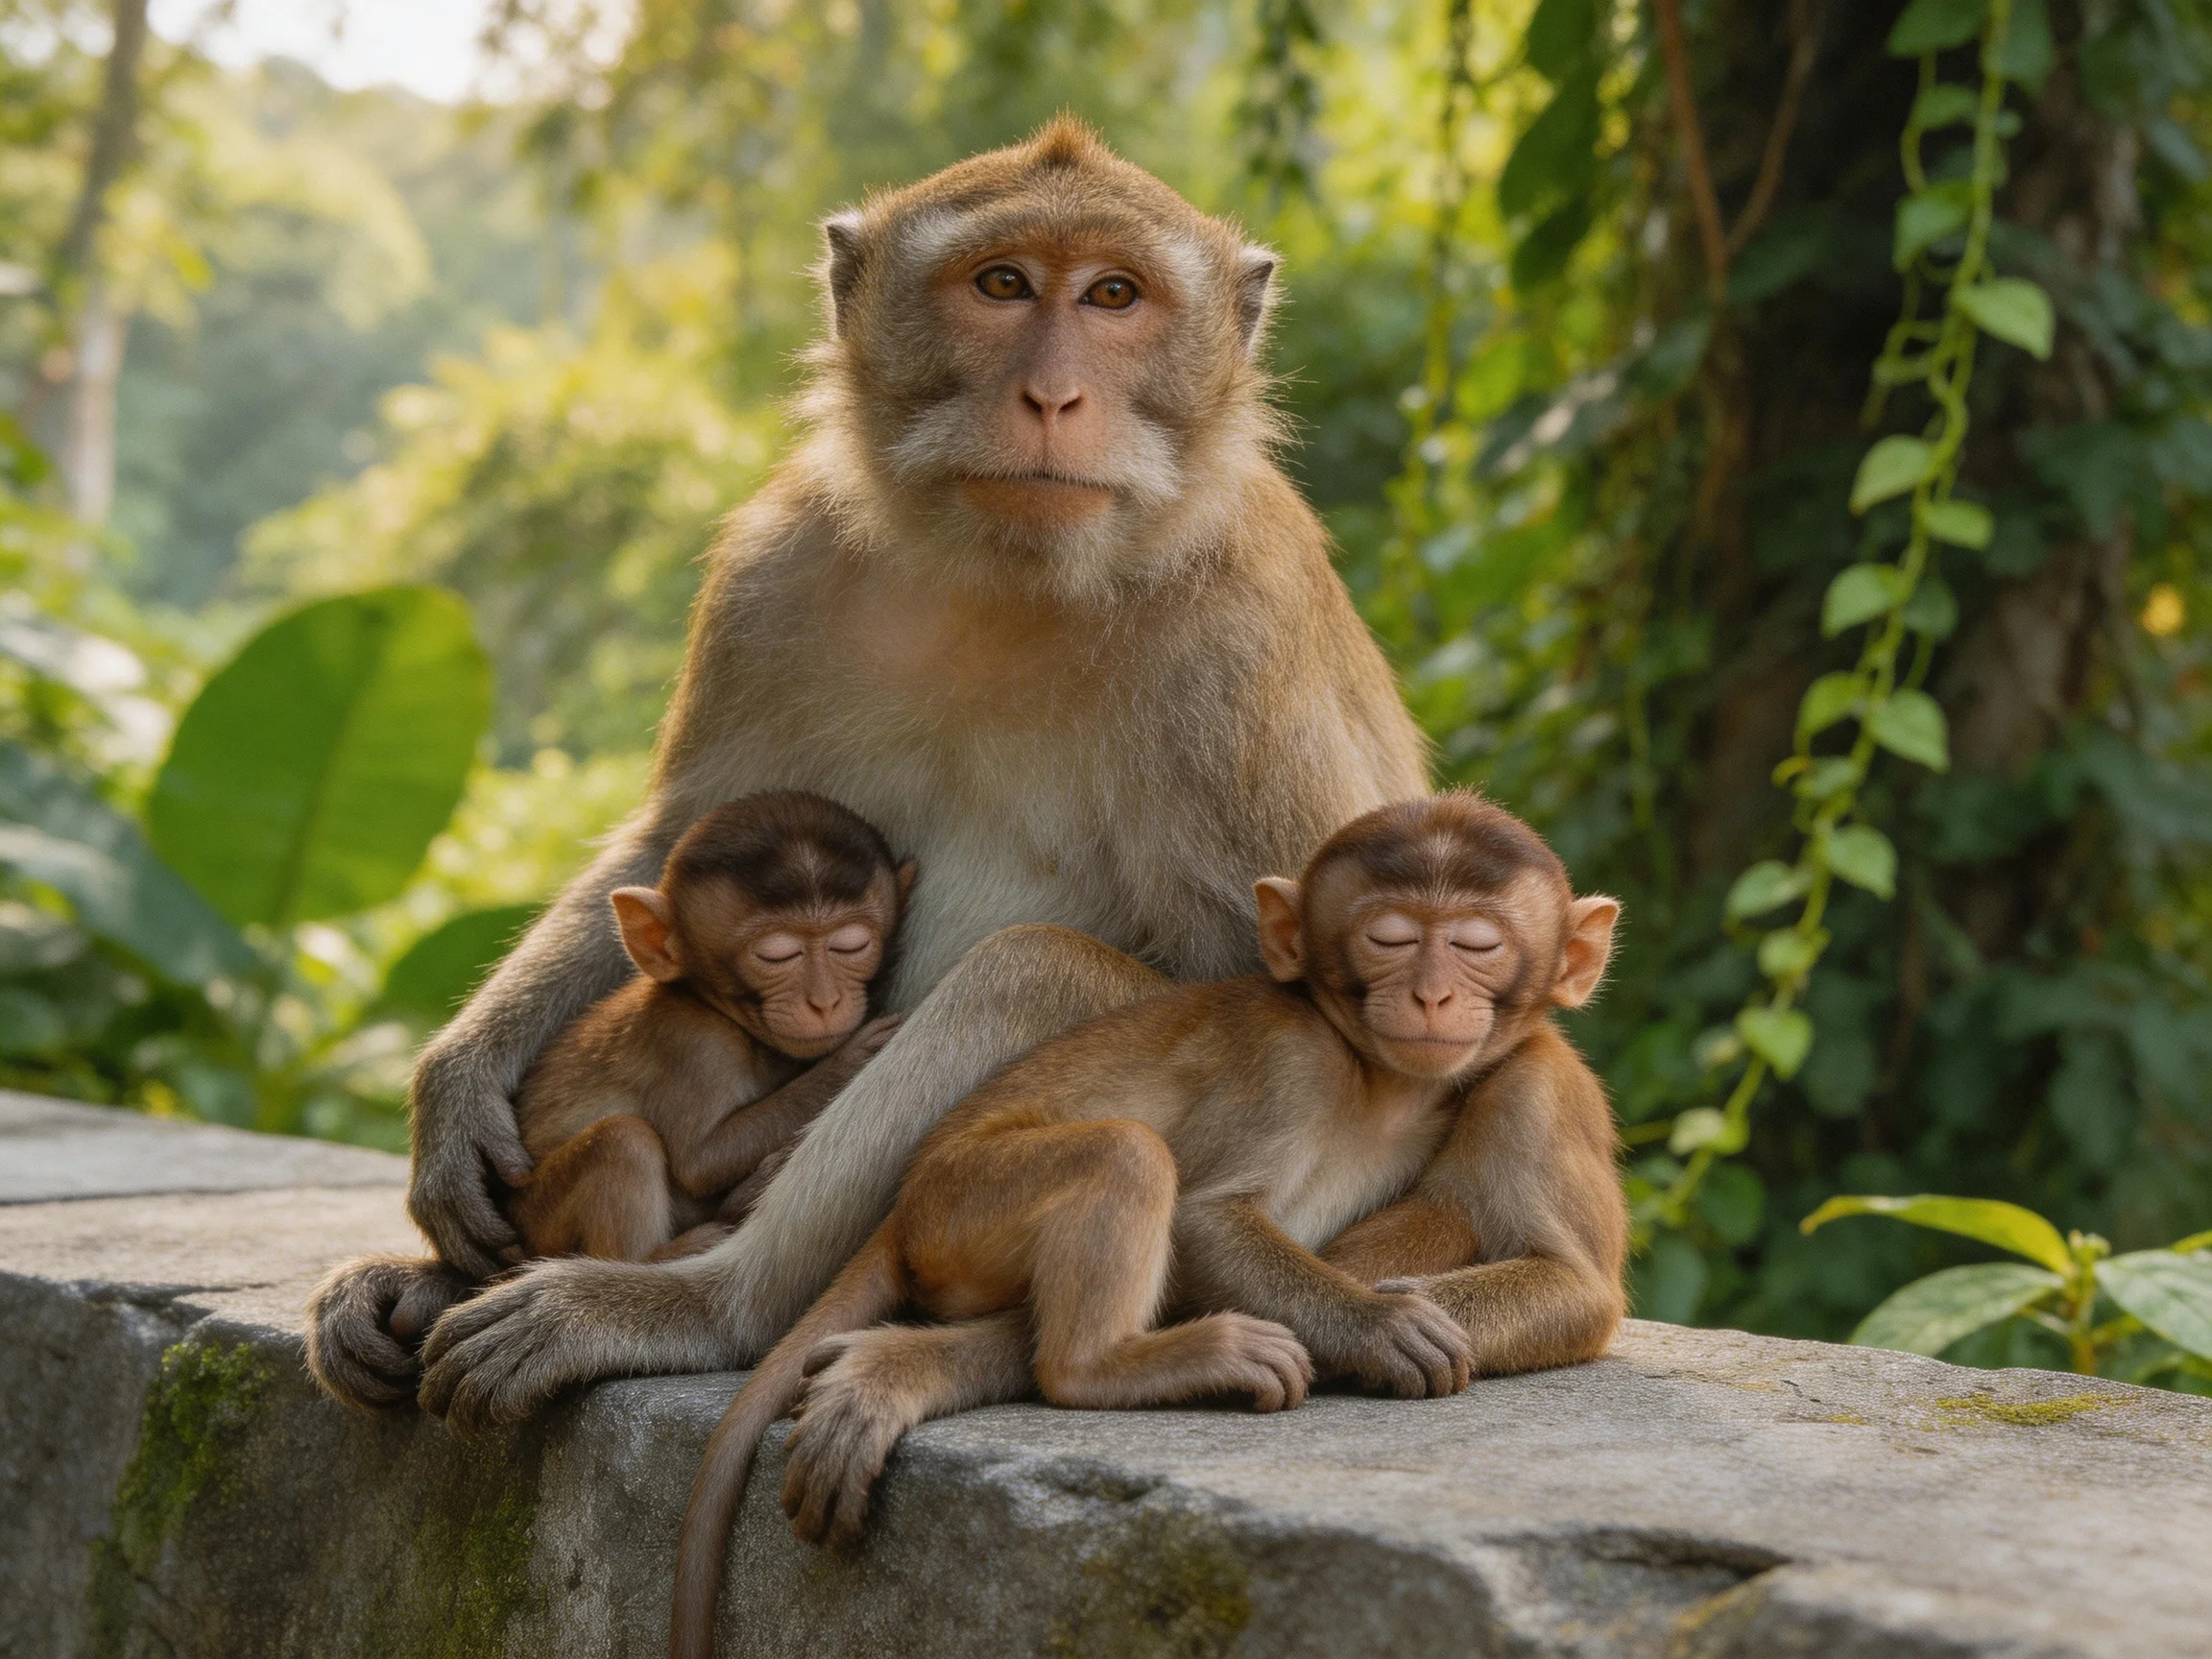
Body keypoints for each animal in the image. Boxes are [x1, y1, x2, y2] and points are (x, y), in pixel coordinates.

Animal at [307, 118, 1439, 1425]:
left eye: (1115, 296)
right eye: (1003, 285)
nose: (1053, 394)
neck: (1017, 573)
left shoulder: (1242, 640)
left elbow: (1308, 1005)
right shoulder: (775, 568)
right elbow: (676, 844)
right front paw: (459, 1081)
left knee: (1034, 974)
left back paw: (690, 1306)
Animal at [665, 795, 1624, 1659]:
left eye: (1476, 945)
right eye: (1389, 939)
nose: (1430, 994)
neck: (1374, 1079)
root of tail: (905, 1207)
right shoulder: (1292, 1066)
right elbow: (1203, 1220)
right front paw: (1381, 1325)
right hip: (966, 1200)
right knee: (1124, 1159)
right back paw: (1114, 1365)